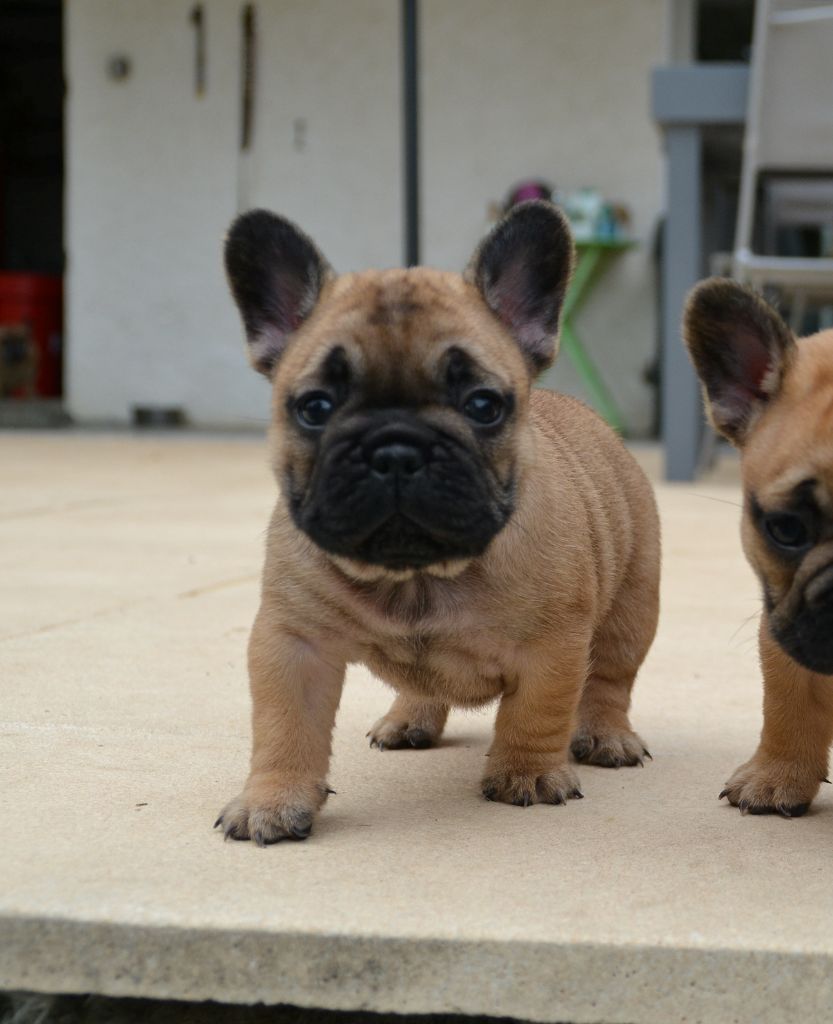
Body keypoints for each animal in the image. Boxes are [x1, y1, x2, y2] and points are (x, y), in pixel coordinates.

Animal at [218, 203, 659, 843]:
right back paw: (409, 720)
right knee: (418, 683)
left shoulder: (554, 647)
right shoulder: (292, 643)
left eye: (483, 405)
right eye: (315, 407)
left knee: (609, 679)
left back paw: (605, 735)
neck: (417, 575)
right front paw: (271, 800)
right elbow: (285, 728)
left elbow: (537, 712)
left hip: (631, 607)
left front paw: (526, 773)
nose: (396, 449)